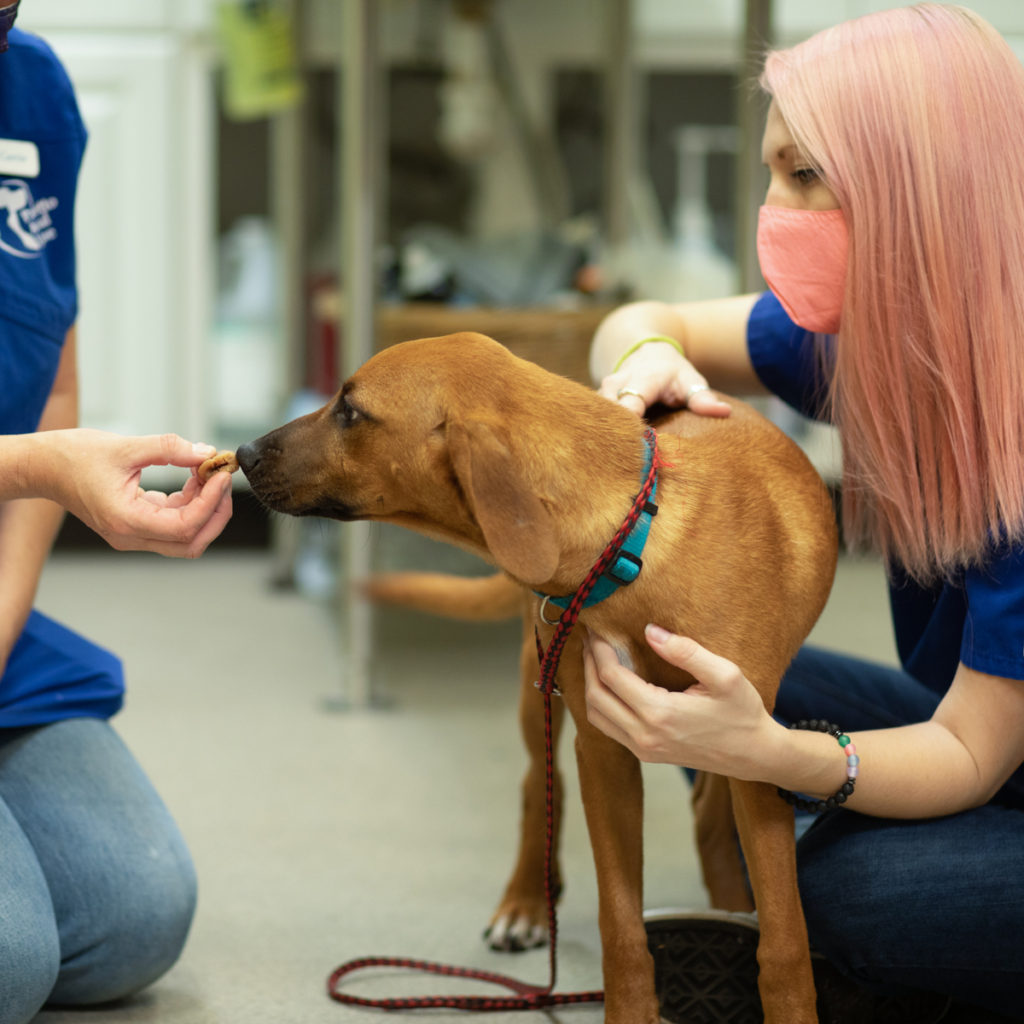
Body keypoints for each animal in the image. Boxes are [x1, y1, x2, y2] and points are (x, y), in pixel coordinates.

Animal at [235, 331, 835, 1019]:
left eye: (351, 411)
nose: (243, 453)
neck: (631, 542)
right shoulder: (604, 754)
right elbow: (620, 923)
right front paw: (630, 1010)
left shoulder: (750, 753)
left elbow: (783, 938)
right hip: (537, 689)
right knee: (536, 787)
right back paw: (525, 901)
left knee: (706, 813)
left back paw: (726, 897)